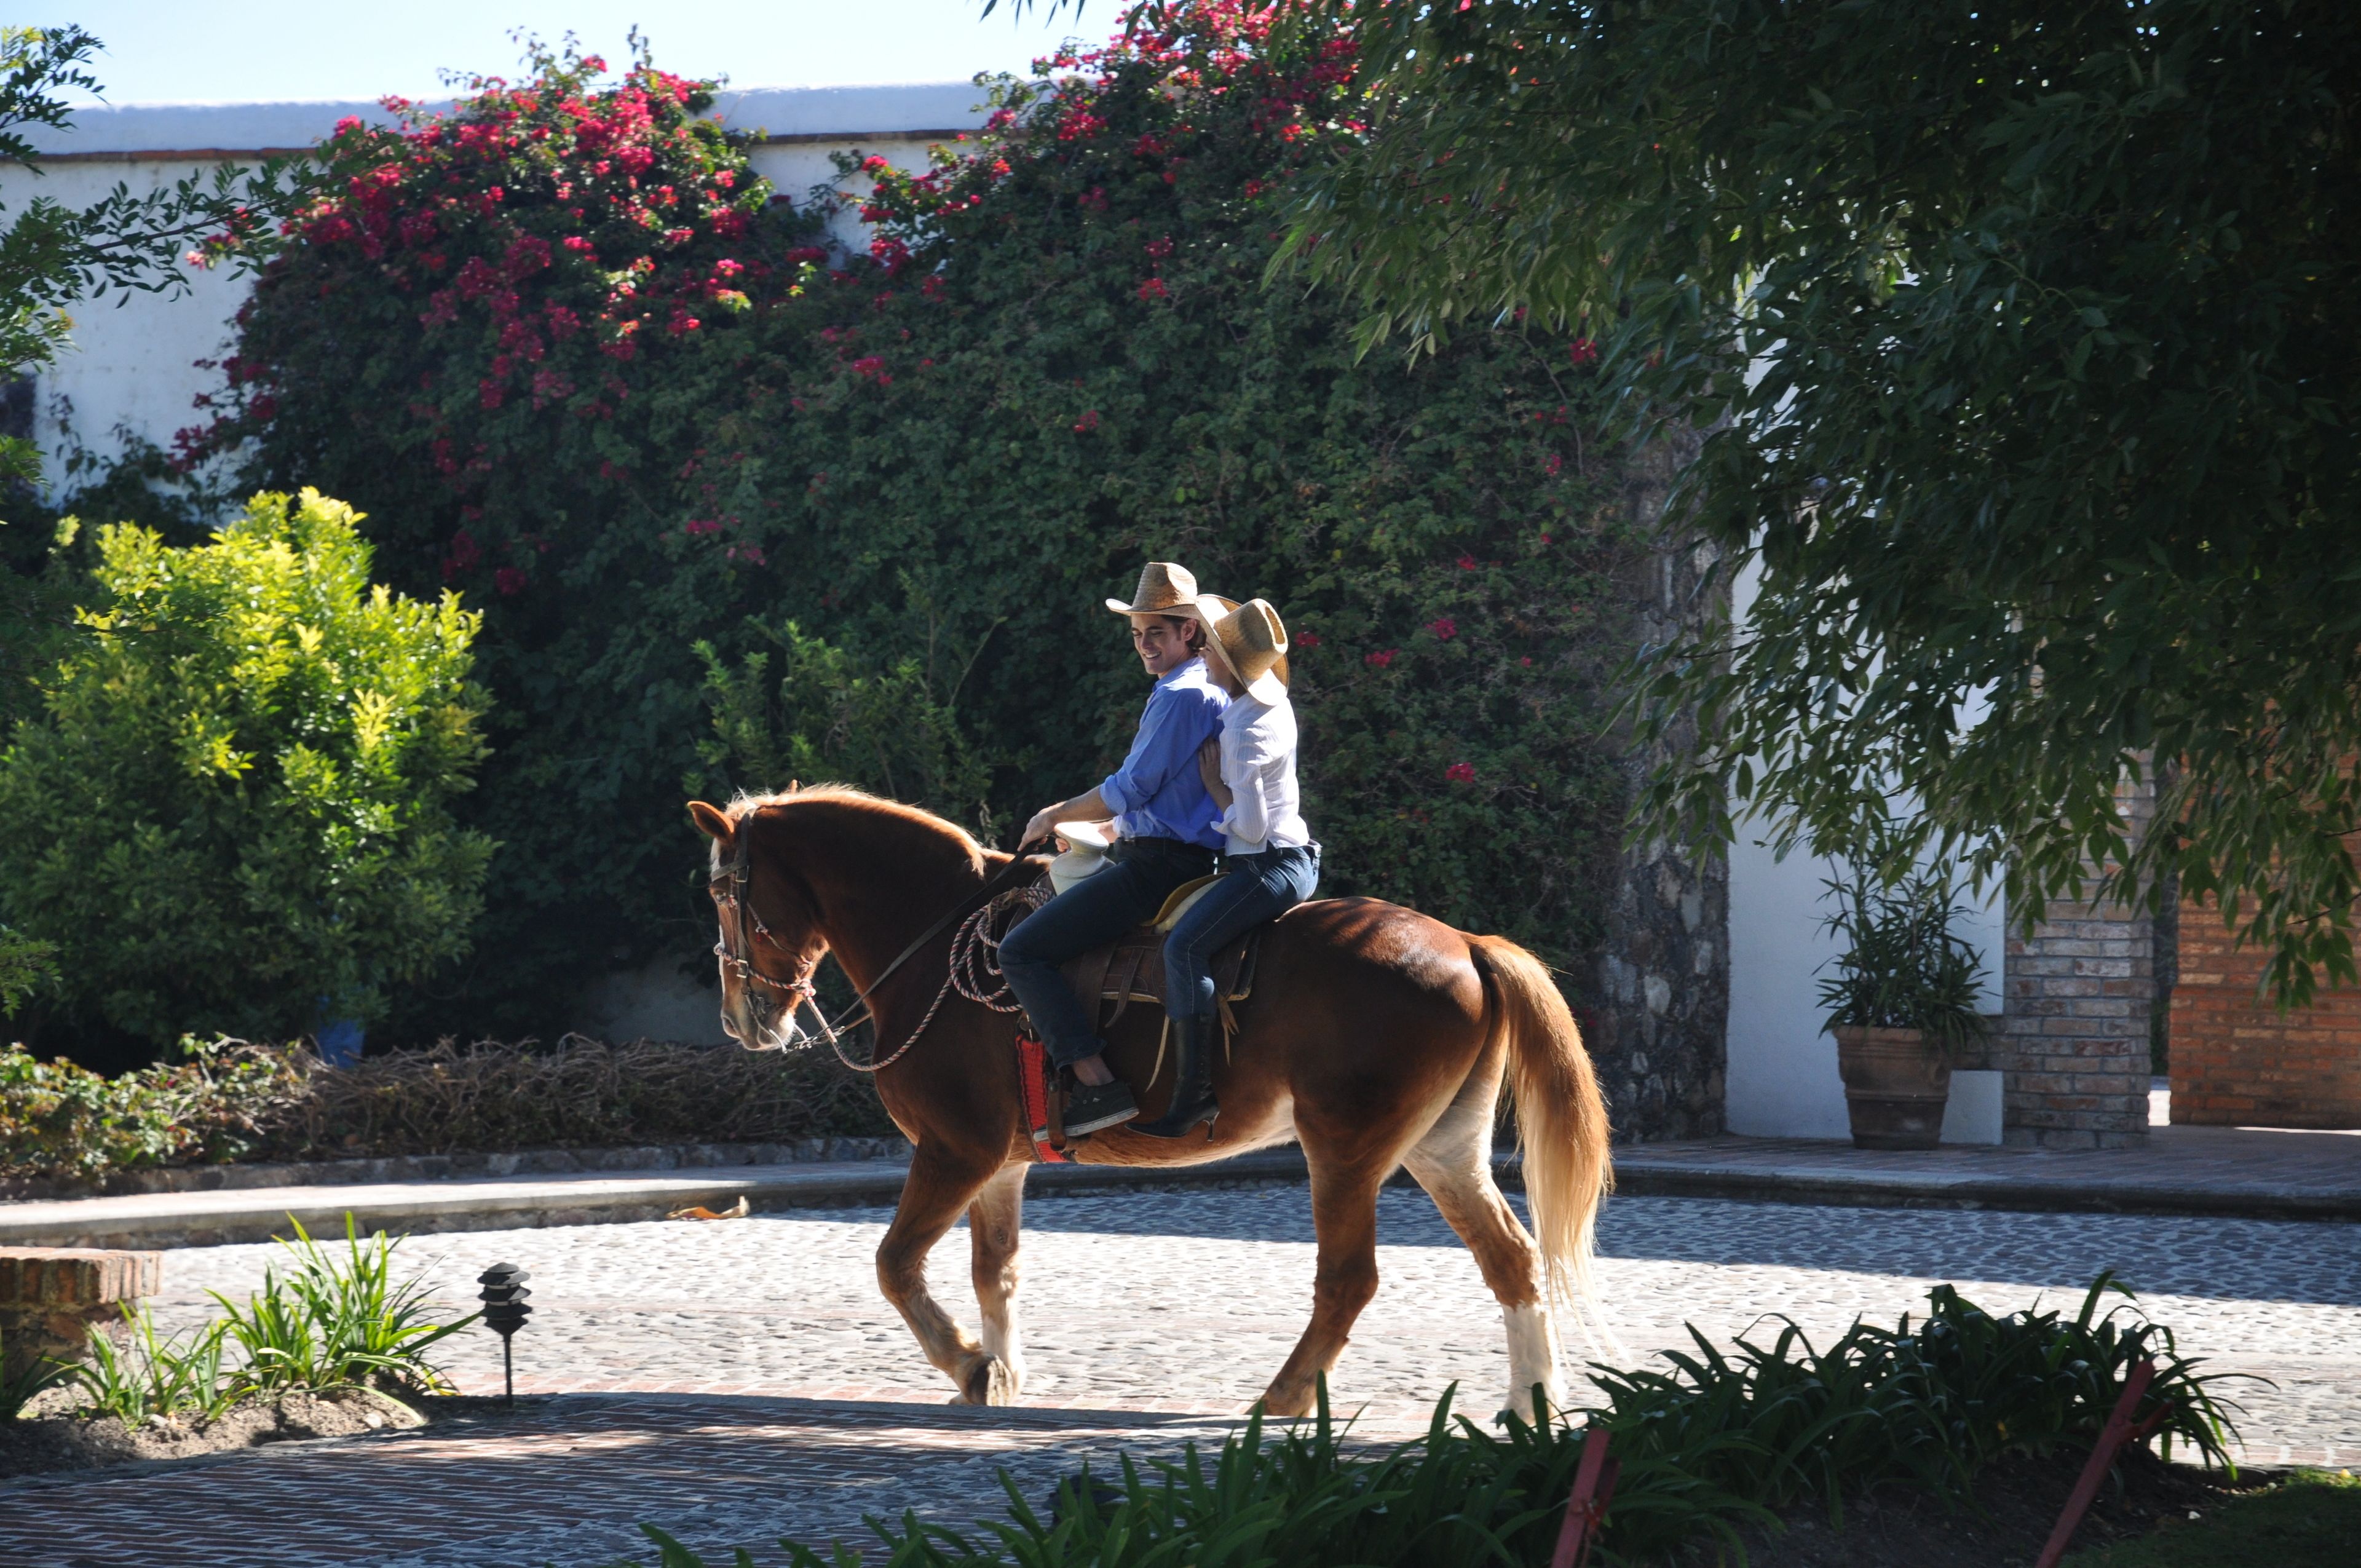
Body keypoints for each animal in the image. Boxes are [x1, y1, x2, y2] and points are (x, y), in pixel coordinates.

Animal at [685, 786, 1613, 1419]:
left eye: (727, 894)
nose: (741, 1018)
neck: (937, 939)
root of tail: (1466, 944)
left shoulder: (955, 1150)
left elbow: (895, 1264)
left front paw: (971, 1365)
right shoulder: (1000, 1165)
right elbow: (996, 1271)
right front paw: (1002, 1374)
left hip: (1345, 1149)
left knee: (1349, 1279)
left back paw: (1282, 1397)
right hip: (1442, 1148)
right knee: (1512, 1260)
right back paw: (1530, 1402)